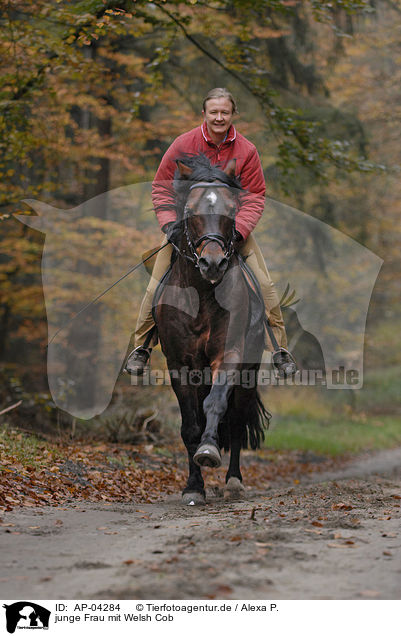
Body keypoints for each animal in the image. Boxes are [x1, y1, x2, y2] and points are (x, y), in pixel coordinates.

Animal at [154, 152, 268, 504]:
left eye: (231, 210)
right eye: (191, 212)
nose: (213, 263)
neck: (203, 294)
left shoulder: (229, 355)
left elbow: (217, 405)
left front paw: (208, 450)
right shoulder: (179, 364)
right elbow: (190, 426)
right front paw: (194, 486)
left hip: (248, 374)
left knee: (237, 421)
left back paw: (233, 481)